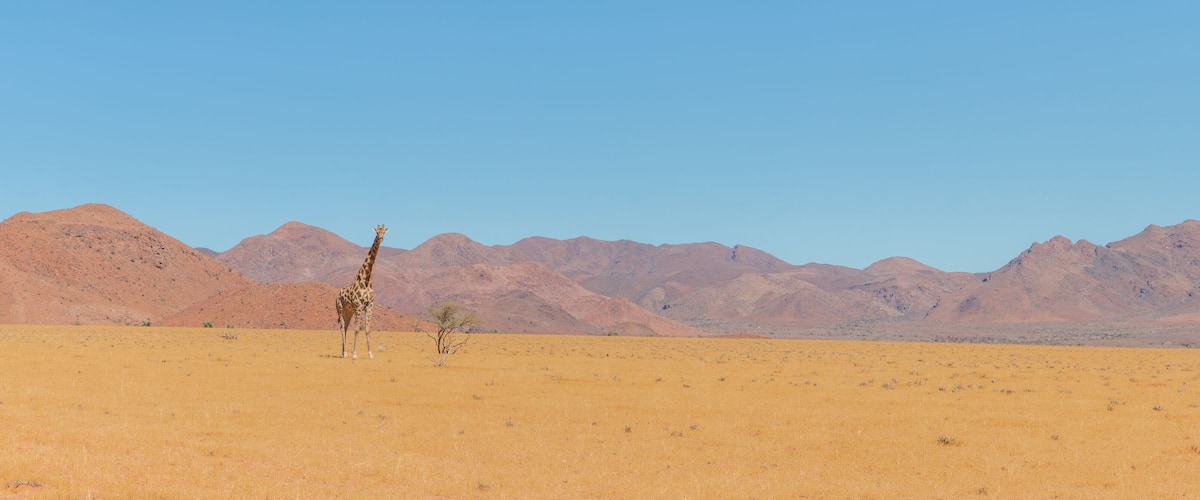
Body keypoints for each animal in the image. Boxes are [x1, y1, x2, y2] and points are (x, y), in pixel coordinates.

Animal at [336, 224, 387, 360]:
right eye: (377, 232)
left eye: (384, 232)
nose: (381, 238)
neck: (366, 280)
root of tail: (337, 295)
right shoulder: (359, 306)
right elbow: (357, 329)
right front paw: (354, 354)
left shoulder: (370, 305)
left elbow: (367, 329)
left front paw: (370, 354)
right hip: (340, 309)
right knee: (342, 327)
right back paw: (345, 353)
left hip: (349, 311)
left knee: (345, 327)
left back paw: (344, 352)